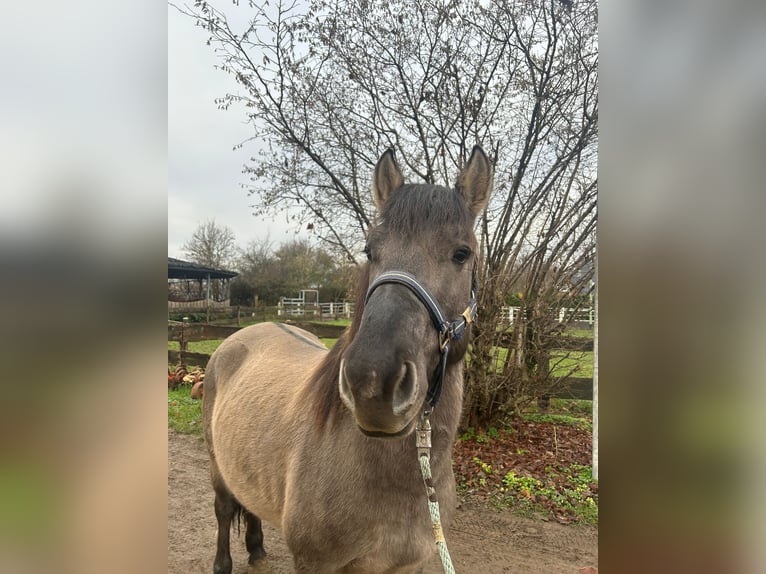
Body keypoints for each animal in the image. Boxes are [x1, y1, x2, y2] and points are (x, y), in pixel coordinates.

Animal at [202, 146, 493, 574]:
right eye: (370, 251)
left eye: (462, 253)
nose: (372, 384)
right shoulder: (315, 564)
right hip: (217, 466)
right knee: (224, 509)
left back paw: (256, 548)